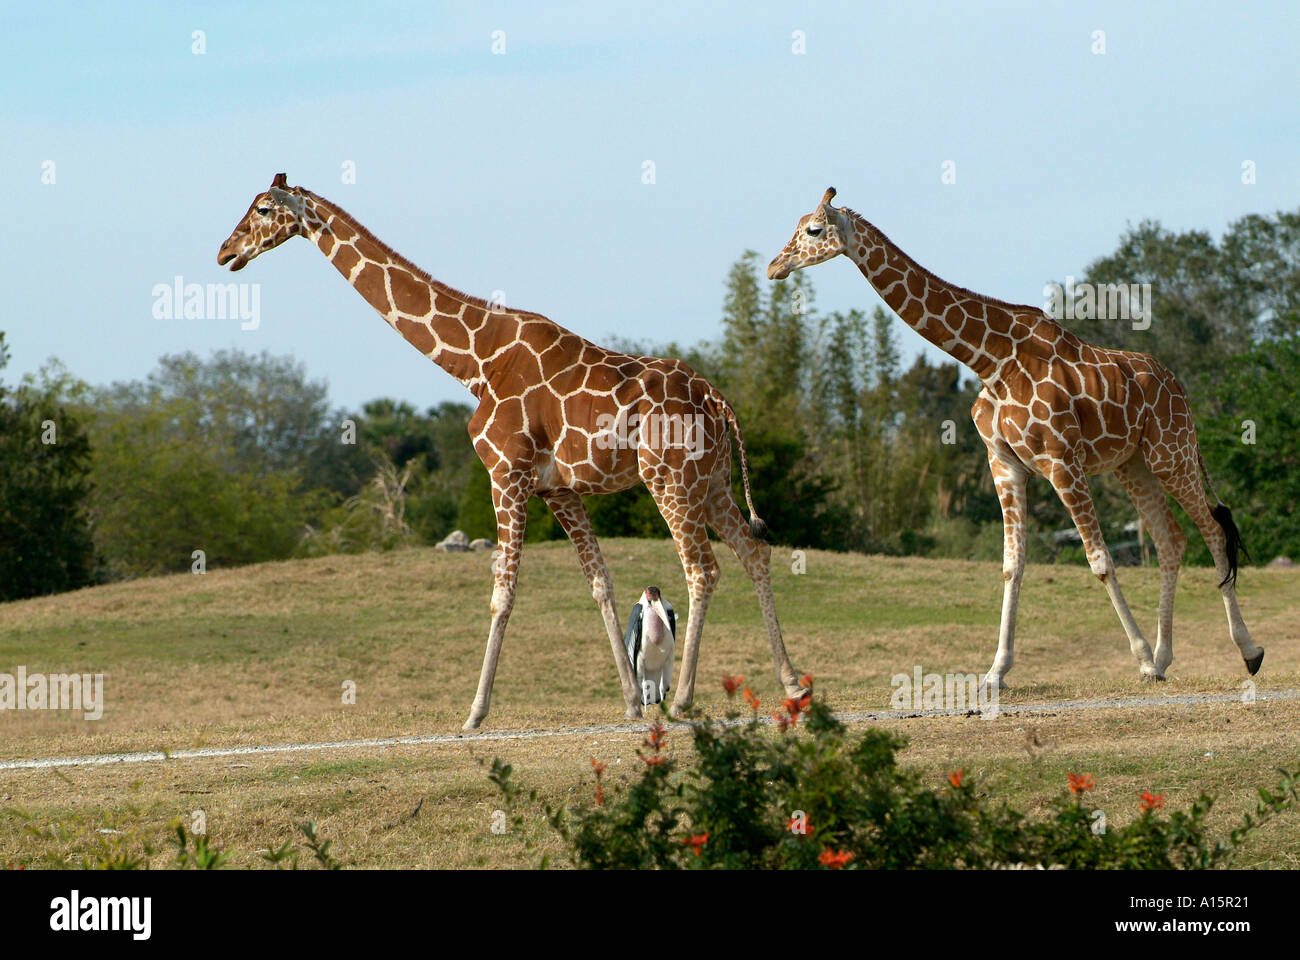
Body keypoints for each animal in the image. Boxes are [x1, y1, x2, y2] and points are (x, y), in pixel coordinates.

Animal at [217, 174, 808, 730]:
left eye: (263, 209)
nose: (226, 252)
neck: (475, 360)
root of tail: (718, 399)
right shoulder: (558, 489)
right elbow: (600, 583)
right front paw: (628, 703)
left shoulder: (507, 474)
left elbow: (503, 594)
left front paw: (474, 712)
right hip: (712, 481)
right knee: (753, 551)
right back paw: (791, 683)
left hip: (670, 477)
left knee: (703, 569)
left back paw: (684, 698)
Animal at [768, 187, 1263, 690]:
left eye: (813, 230)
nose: (773, 267)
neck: (989, 359)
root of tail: (1180, 387)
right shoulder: (1004, 463)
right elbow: (1012, 564)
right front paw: (995, 672)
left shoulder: (1062, 461)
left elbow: (1099, 560)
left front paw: (1139, 658)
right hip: (1133, 464)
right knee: (1171, 540)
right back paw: (1164, 660)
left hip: (1171, 452)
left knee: (1212, 531)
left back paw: (1246, 652)